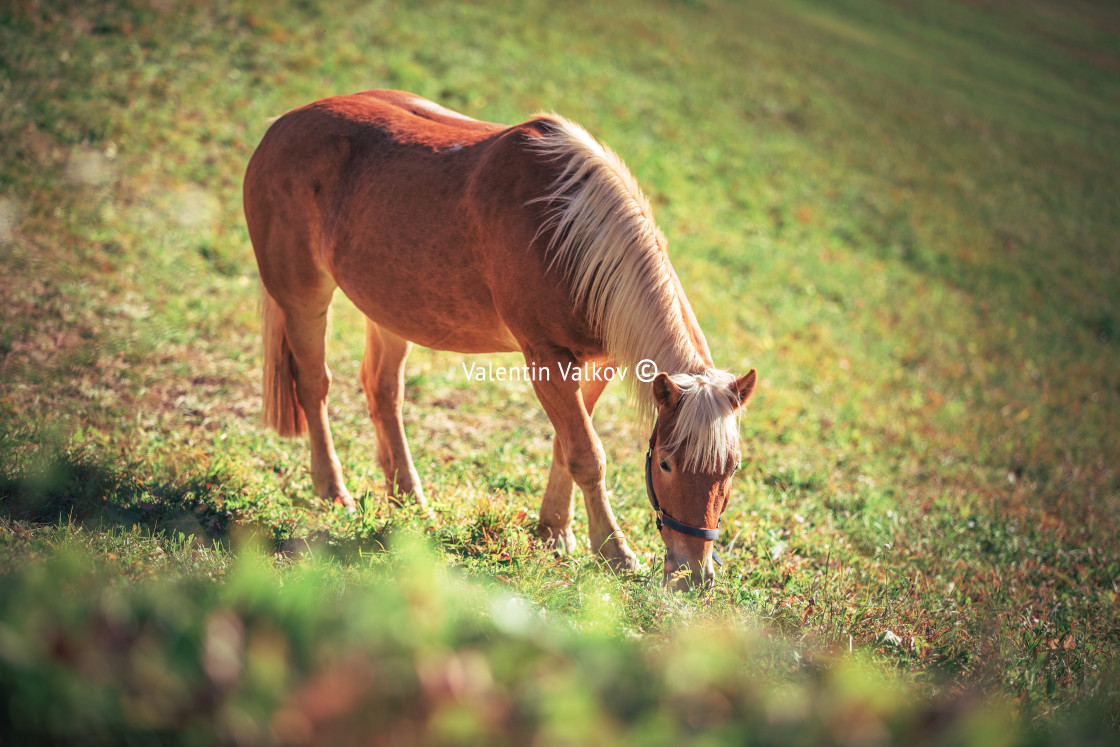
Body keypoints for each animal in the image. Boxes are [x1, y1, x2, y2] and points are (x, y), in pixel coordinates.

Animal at [240, 89, 757, 591]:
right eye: (666, 464)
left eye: (731, 469)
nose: (693, 575)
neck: (564, 232)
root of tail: (282, 124)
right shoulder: (546, 359)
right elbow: (588, 455)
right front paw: (614, 552)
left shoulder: (597, 363)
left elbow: (567, 446)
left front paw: (554, 531)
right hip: (304, 297)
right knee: (314, 386)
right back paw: (333, 491)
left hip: (390, 312)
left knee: (383, 392)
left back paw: (408, 497)